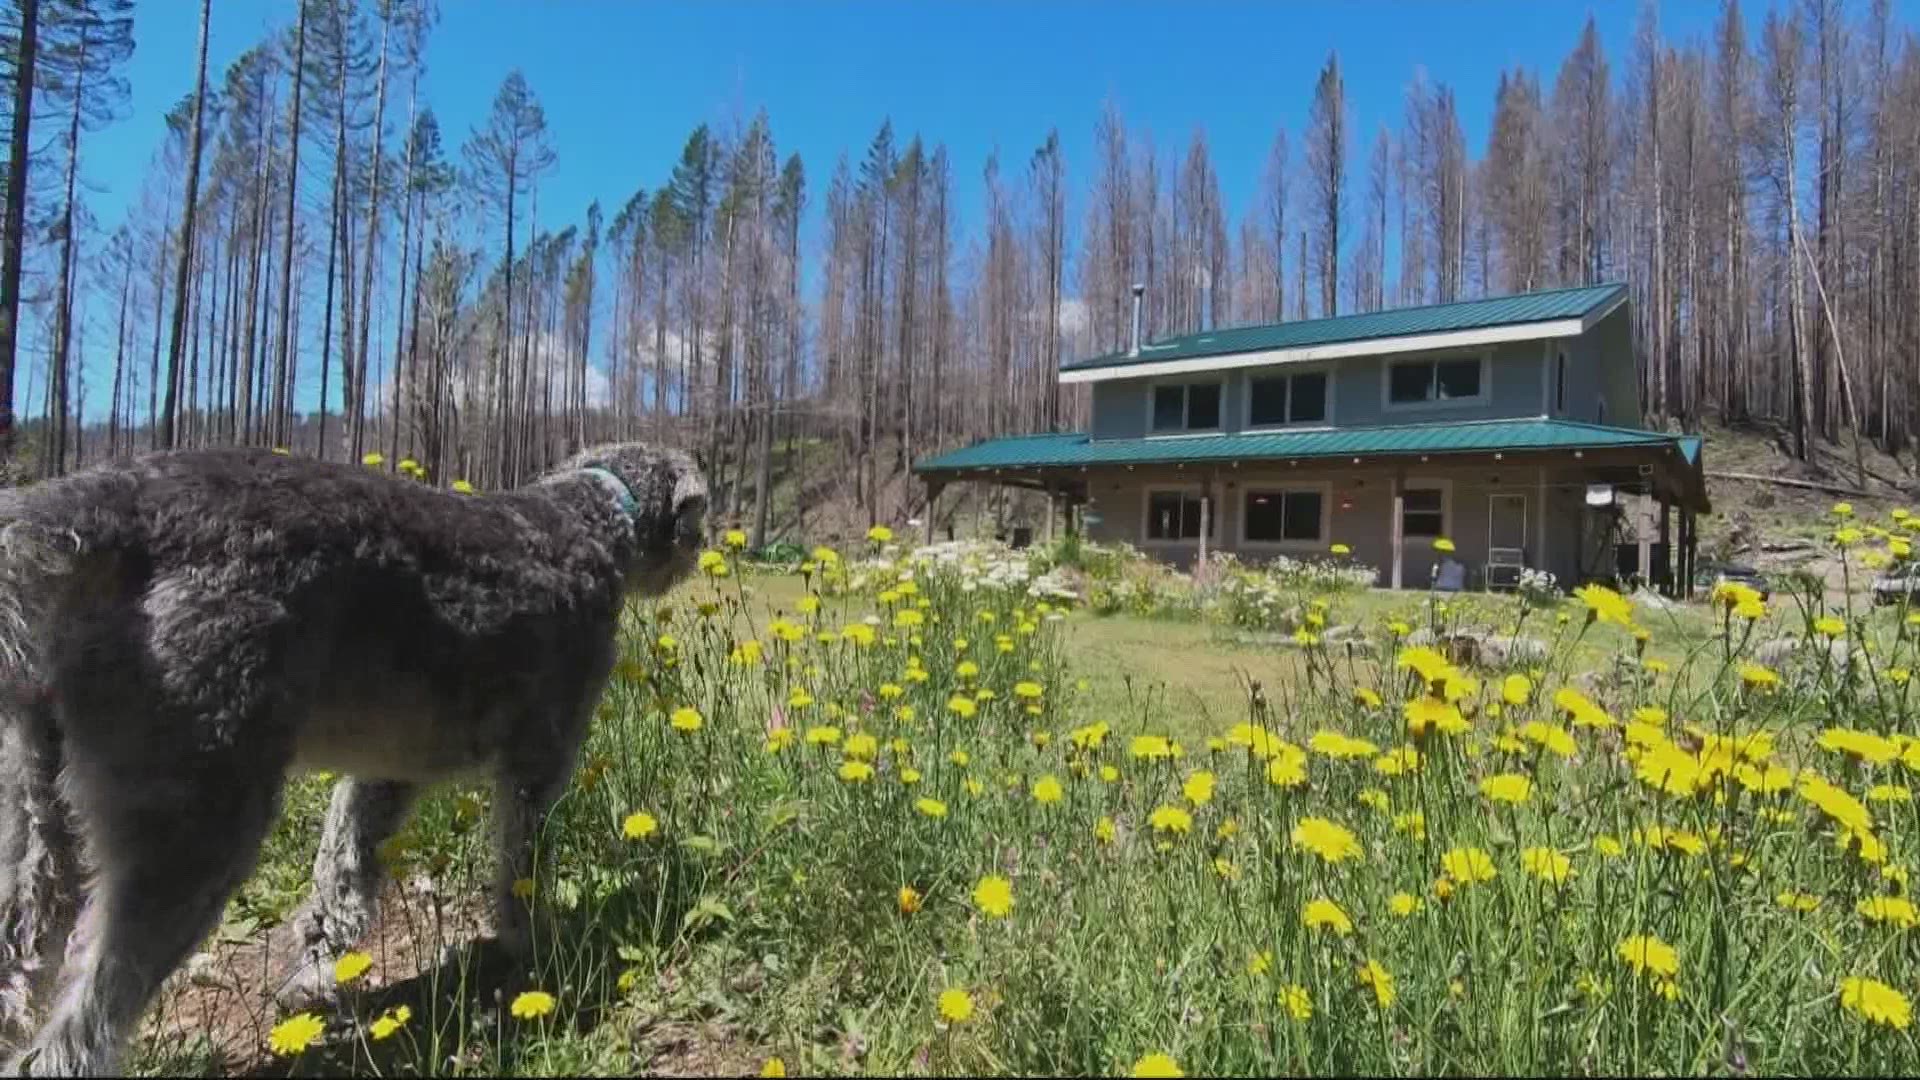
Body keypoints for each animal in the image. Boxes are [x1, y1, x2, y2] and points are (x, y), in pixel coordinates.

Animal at [0, 438, 710, 1068]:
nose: (702, 543)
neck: (589, 517)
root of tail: (107, 500)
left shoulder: (385, 773)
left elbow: (342, 873)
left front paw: (316, 974)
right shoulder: (540, 758)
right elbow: (520, 867)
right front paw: (535, 945)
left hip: (38, 814)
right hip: (194, 817)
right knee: (77, 1028)